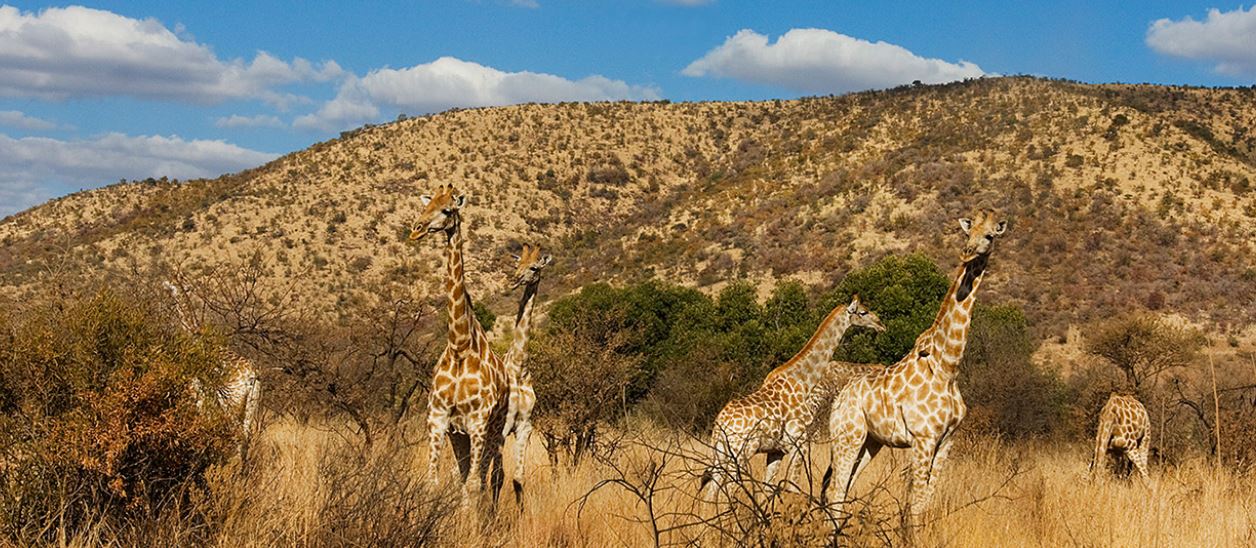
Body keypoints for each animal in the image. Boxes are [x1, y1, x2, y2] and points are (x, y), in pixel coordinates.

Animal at [162, 280, 262, 460]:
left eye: (170, 284)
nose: (163, 286)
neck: (193, 332)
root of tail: (253, 374)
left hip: (231, 398)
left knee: (237, 434)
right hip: (252, 402)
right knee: (246, 436)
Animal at [411, 183, 509, 505]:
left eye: (446, 210)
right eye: (426, 205)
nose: (415, 230)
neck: (459, 346)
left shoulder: (478, 423)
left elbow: (474, 486)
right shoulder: (439, 419)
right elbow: (434, 482)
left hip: (494, 431)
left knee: (491, 478)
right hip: (460, 436)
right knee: (467, 476)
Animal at [703, 295, 889, 500]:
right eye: (863, 312)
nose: (881, 325)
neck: (804, 381)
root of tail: (720, 424)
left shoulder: (776, 451)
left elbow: (768, 490)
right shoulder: (800, 443)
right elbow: (792, 487)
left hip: (720, 454)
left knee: (711, 493)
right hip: (741, 451)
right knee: (726, 491)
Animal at [823, 207, 1009, 525]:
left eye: (989, 235)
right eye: (967, 232)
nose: (967, 253)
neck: (947, 366)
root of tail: (840, 399)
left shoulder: (946, 442)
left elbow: (925, 501)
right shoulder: (923, 439)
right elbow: (913, 505)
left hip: (870, 442)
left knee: (842, 487)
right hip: (848, 435)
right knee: (835, 488)